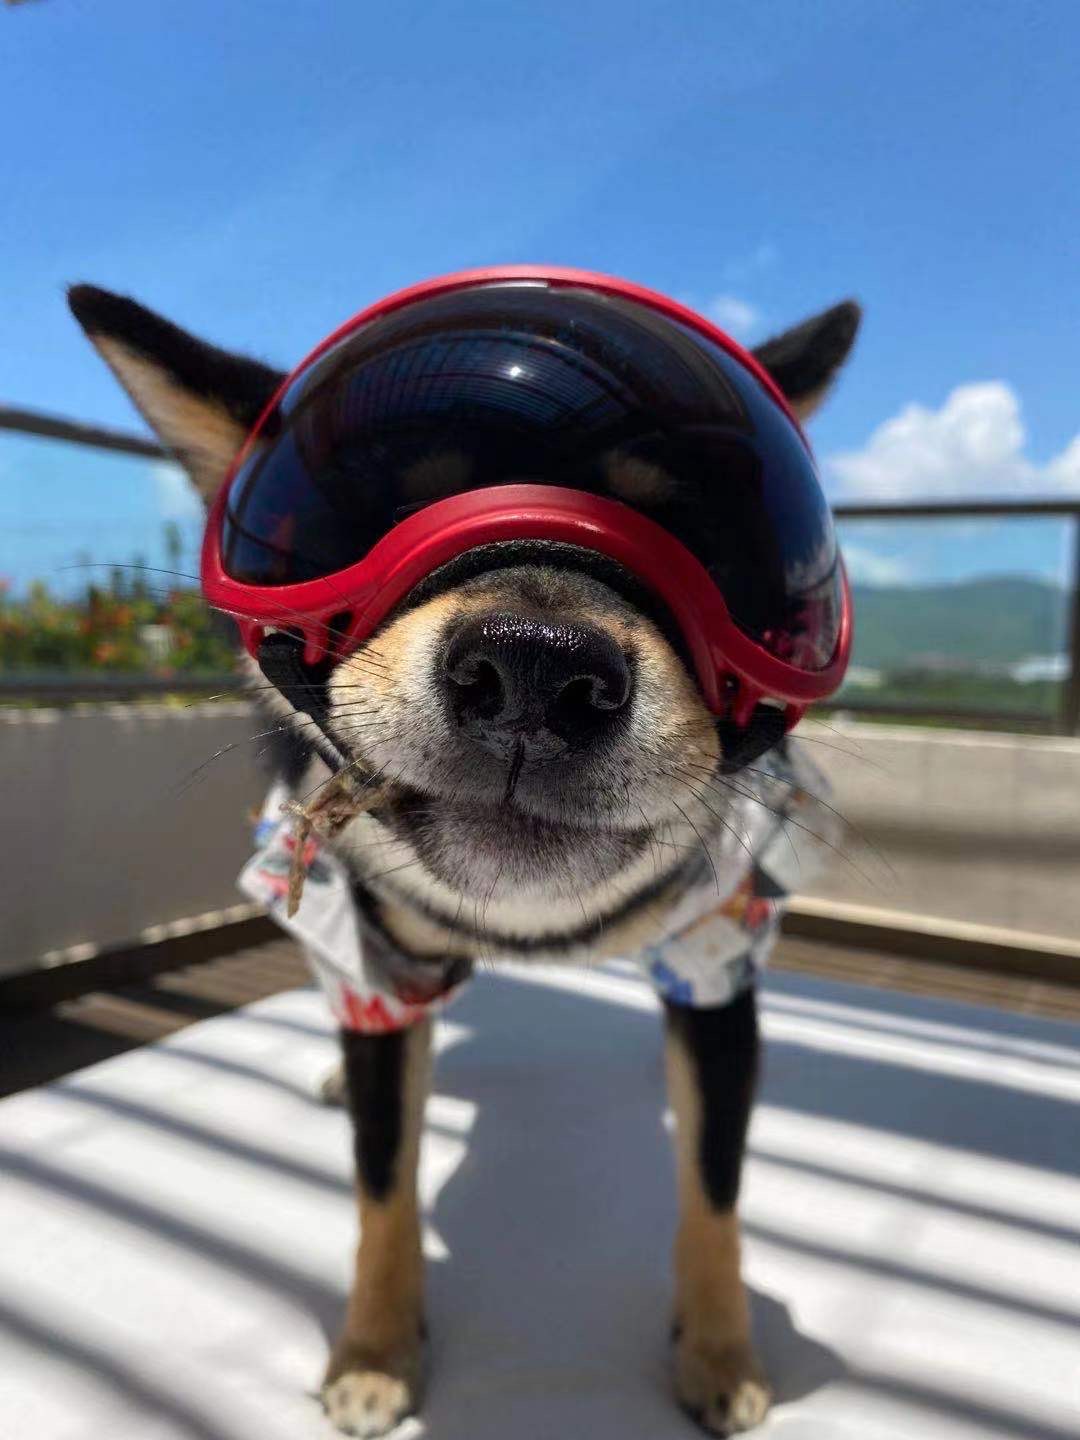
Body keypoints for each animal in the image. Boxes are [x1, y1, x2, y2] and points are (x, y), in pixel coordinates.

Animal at [69, 276, 859, 1437]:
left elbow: (715, 1185)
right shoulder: (372, 954)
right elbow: (380, 1179)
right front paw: (375, 1350)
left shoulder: (716, 957)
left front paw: (721, 1349)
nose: (537, 666)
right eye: (363, 523)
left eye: (710, 547)